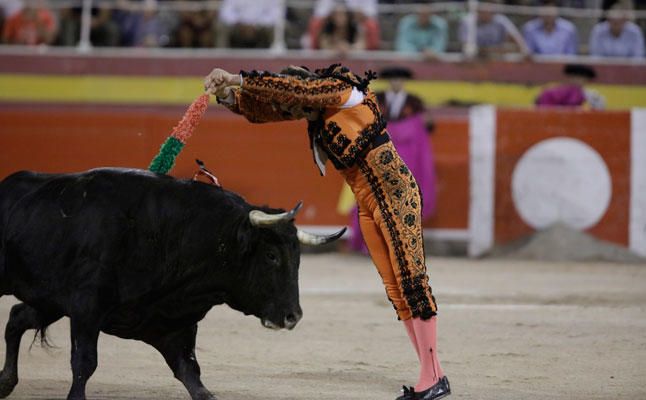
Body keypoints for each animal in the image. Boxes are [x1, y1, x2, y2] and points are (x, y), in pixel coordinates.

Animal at [0, 169, 344, 400]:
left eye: (297, 257)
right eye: (271, 255)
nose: (292, 316)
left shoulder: (174, 324)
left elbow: (192, 374)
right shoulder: (87, 308)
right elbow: (85, 362)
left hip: (49, 300)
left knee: (17, 318)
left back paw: (5, 383)